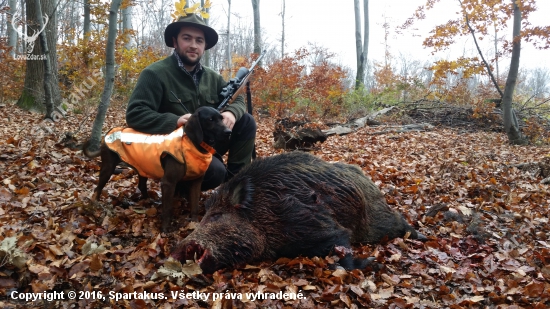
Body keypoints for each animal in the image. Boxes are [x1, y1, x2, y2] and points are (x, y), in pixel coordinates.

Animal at [84, 106, 233, 231]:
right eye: (210, 120)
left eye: (222, 118)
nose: (229, 132)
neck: (193, 145)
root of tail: (107, 135)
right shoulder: (168, 182)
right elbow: (167, 209)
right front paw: (166, 229)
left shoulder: (196, 182)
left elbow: (195, 206)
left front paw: (195, 224)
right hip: (108, 168)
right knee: (97, 189)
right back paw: (94, 205)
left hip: (142, 168)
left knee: (141, 185)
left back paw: (148, 201)